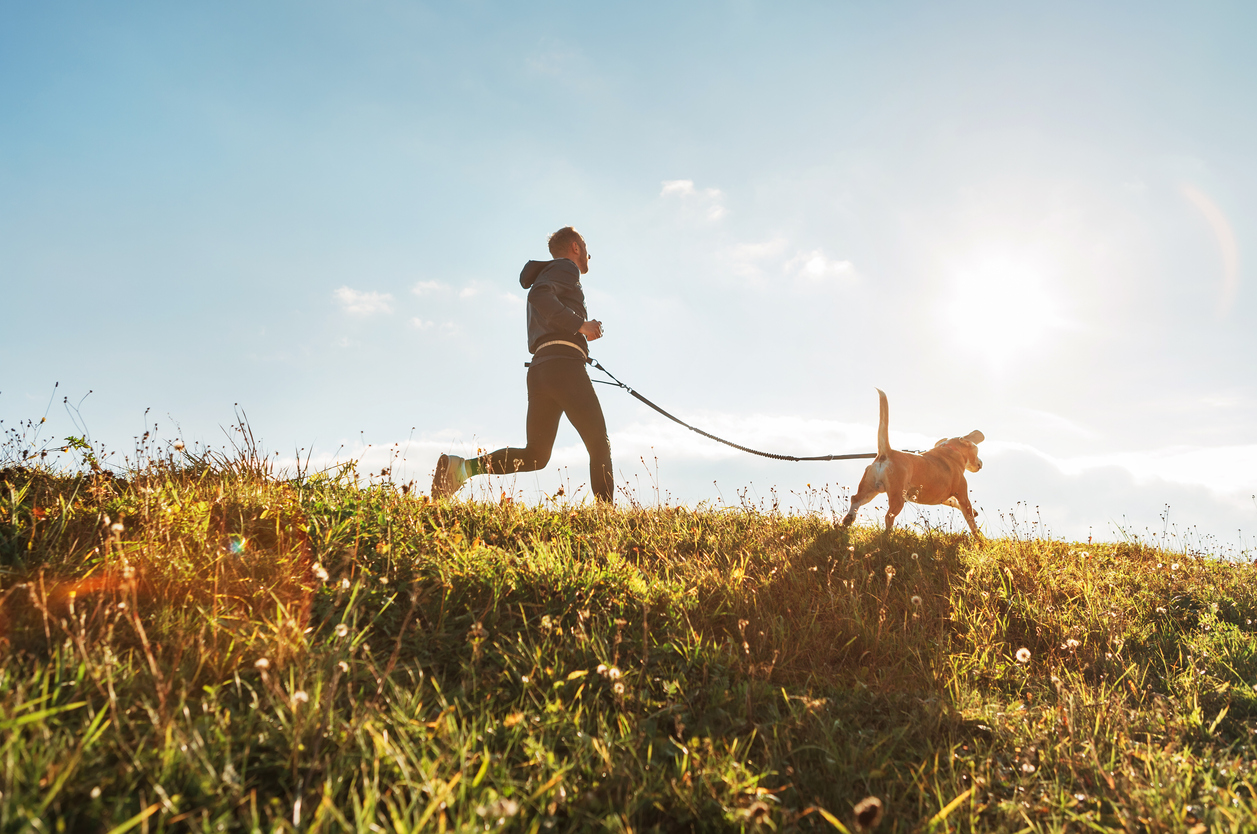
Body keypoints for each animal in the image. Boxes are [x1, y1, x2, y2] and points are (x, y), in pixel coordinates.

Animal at [839, 387, 985, 538]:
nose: (981, 462)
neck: (950, 449)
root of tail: (887, 452)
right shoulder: (963, 496)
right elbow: (970, 520)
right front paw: (980, 538)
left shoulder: (944, 497)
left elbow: (953, 502)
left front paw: (975, 513)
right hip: (897, 496)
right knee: (888, 516)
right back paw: (888, 536)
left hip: (869, 489)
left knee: (855, 500)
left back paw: (847, 521)